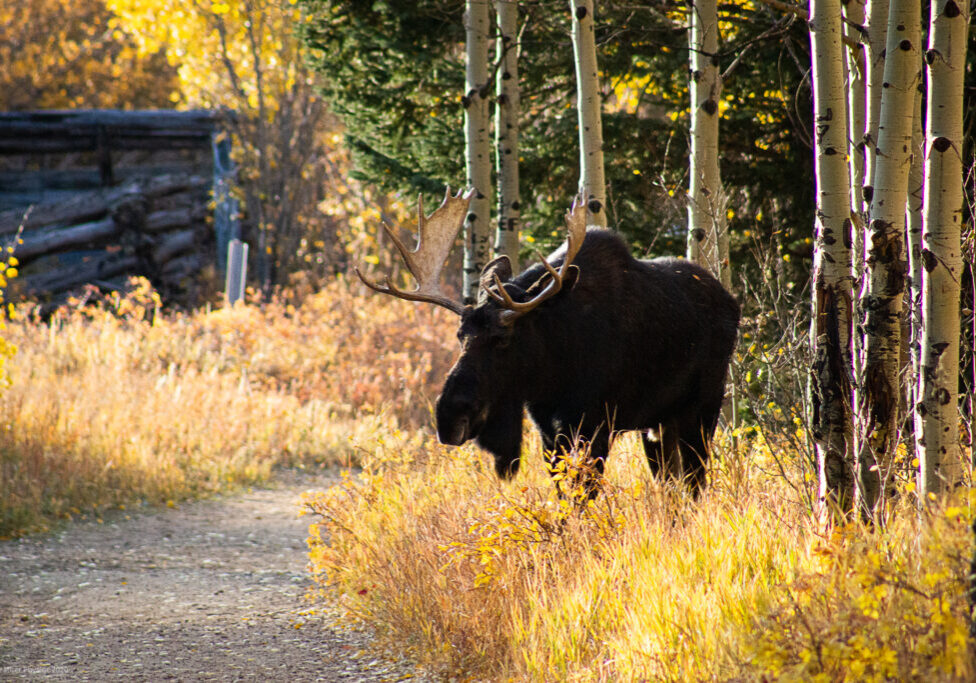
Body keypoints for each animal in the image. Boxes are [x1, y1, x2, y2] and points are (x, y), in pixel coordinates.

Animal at [358, 189, 740, 498]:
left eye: (502, 339)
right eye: (460, 335)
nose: (449, 415)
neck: (551, 373)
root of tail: (732, 303)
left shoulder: (596, 425)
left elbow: (583, 496)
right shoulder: (548, 431)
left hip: (701, 409)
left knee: (695, 483)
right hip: (658, 424)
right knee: (673, 485)